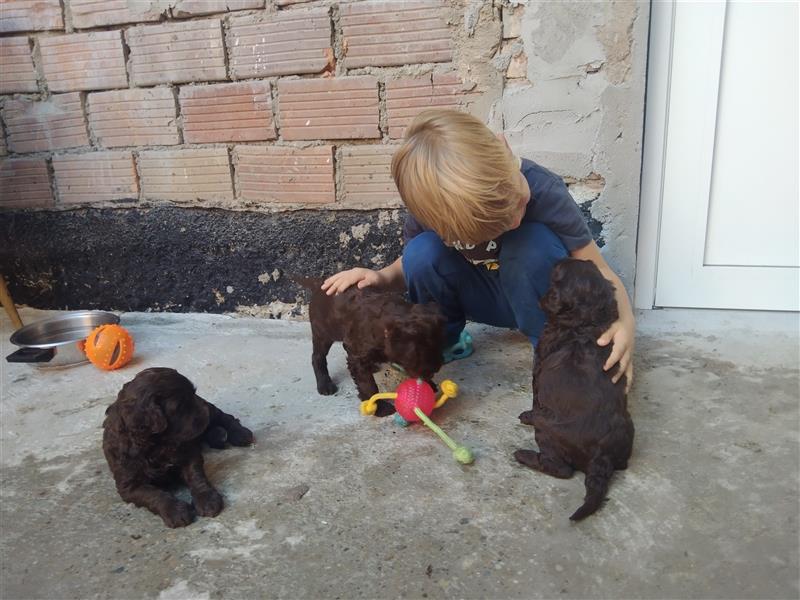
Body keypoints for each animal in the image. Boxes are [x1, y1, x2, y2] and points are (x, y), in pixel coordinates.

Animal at [102, 368, 253, 528]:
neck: (156, 444)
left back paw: (240, 433)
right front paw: (175, 511)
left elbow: (196, 476)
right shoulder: (129, 484)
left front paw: (207, 499)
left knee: (224, 416)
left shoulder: (188, 453)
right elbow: (153, 494)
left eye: (192, 394)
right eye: (180, 406)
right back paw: (217, 436)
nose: (204, 411)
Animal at [298, 278, 446, 414]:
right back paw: (325, 384)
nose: (435, 369)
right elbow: (367, 384)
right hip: (323, 332)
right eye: (417, 353)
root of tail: (320, 285)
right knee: (317, 357)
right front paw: (379, 407)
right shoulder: (357, 356)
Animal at [516, 258, 636, 520]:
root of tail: (601, 456)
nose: (561, 258)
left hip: (546, 432)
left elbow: (534, 400)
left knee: (561, 469)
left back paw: (523, 455)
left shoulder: (539, 367)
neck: (587, 323)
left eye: (558, 276)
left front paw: (527, 415)